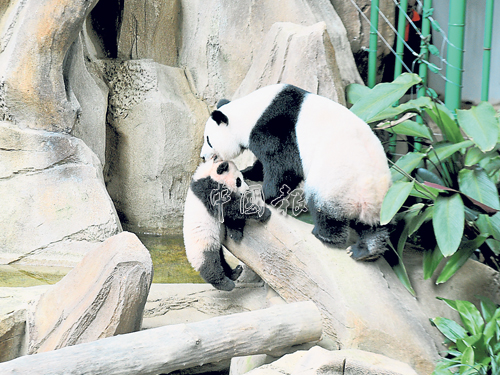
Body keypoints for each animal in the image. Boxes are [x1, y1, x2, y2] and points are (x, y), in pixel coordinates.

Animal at [184, 159, 270, 290]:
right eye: (238, 181)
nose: (247, 190)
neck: (208, 174)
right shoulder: (209, 190)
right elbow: (230, 207)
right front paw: (264, 212)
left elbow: (230, 216)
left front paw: (235, 233)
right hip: (202, 244)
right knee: (210, 263)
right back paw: (225, 283)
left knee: (221, 258)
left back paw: (235, 272)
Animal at [199, 84, 390, 262]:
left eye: (208, 140)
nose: (203, 157)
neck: (249, 113)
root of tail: (370, 189)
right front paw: (249, 173)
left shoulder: (275, 127)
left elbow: (283, 166)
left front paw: (265, 195)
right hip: (381, 204)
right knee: (374, 226)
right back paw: (367, 251)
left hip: (336, 182)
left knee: (324, 209)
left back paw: (325, 236)